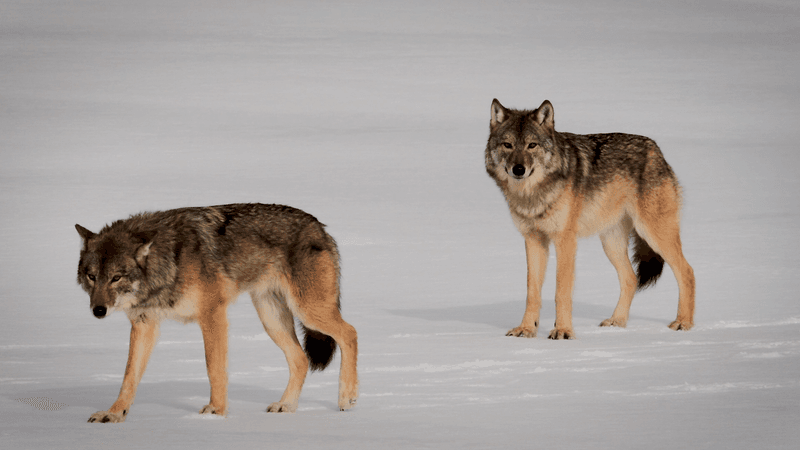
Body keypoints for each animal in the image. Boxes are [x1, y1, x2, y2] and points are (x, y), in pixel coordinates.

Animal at [76, 204, 360, 422]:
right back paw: (286, 406)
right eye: (92, 277)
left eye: (116, 277)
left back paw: (347, 397)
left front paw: (216, 412)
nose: (98, 310)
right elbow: (129, 376)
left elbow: (214, 367)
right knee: (301, 359)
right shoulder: (144, 324)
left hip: (308, 310)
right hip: (271, 318)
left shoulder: (212, 314)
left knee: (350, 333)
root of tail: (318, 225)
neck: (170, 262)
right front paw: (114, 414)